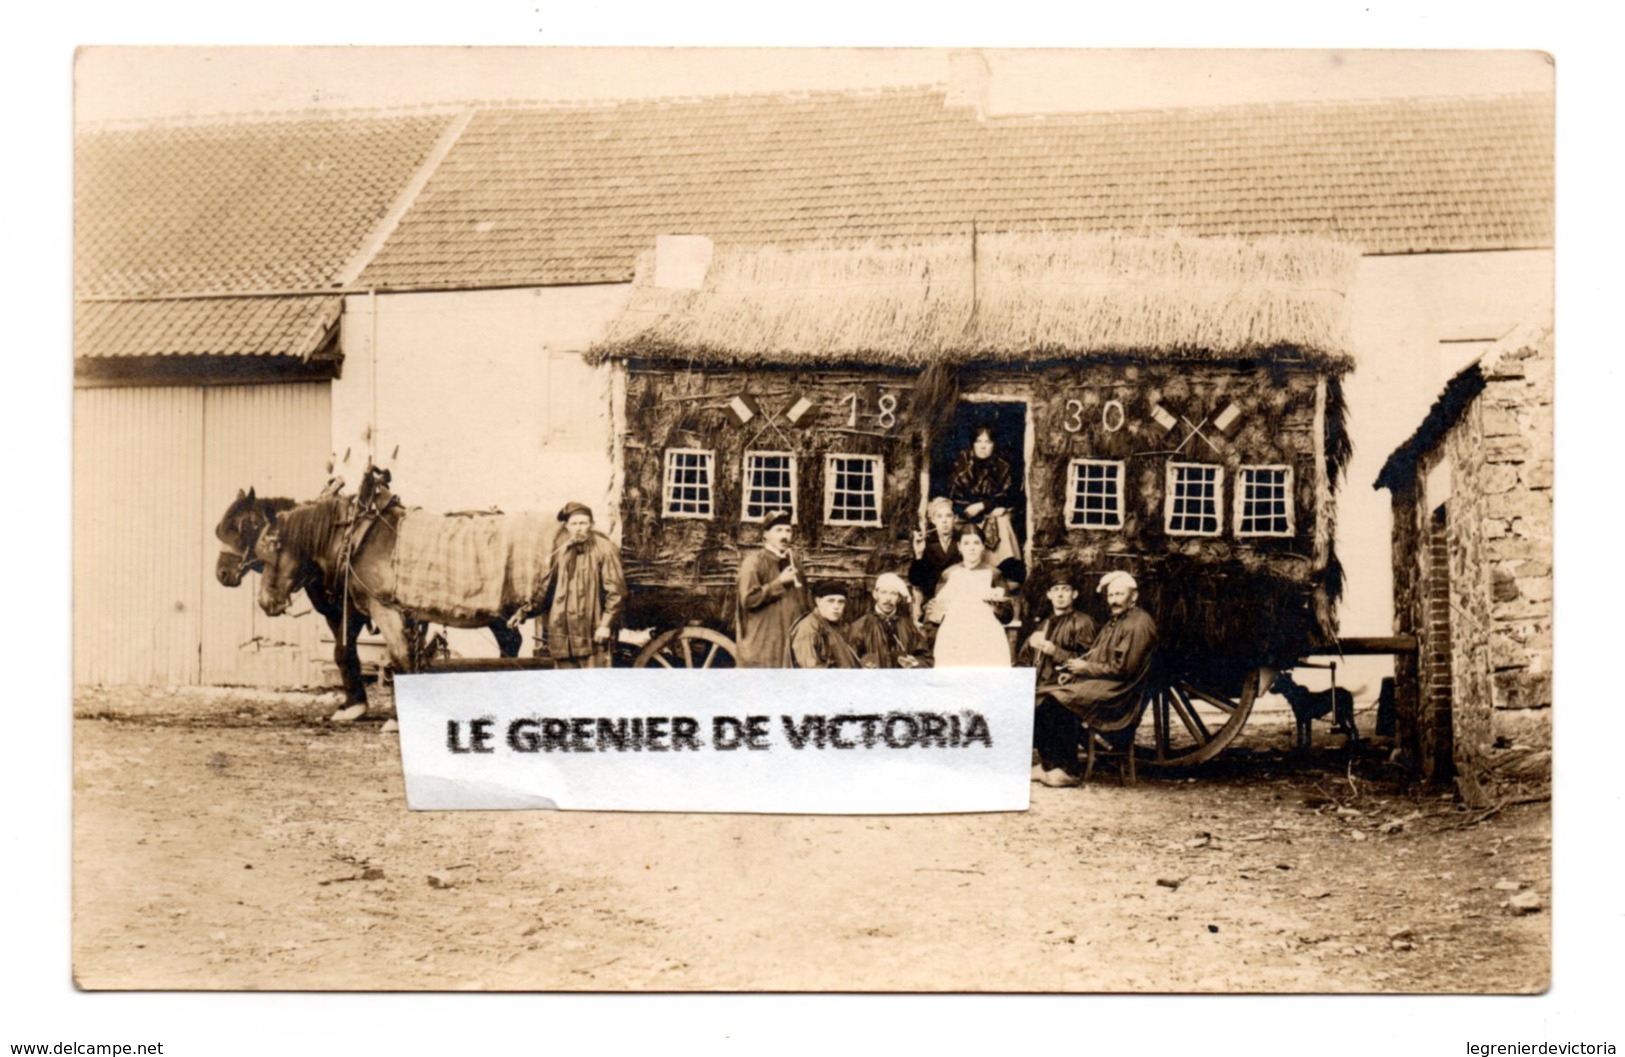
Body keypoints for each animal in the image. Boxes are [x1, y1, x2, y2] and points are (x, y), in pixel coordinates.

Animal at [212, 484, 520, 709]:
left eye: (247, 527)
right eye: (221, 530)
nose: (222, 574)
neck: (339, 543)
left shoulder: (351, 610)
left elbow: (345, 651)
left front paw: (357, 704)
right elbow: (345, 652)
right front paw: (354, 704)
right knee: (510, 641)